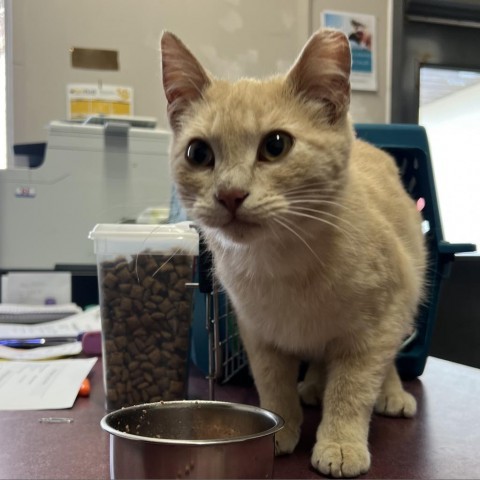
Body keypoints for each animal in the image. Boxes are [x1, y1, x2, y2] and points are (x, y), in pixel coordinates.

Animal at [162, 29, 428, 476]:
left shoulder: (375, 327)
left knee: (384, 362)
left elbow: (353, 387)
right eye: (198, 153)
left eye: (275, 145)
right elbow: (273, 385)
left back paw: (390, 393)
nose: (230, 194)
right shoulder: (258, 332)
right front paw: (280, 429)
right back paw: (314, 384)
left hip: (405, 301)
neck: (281, 262)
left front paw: (340, 442)